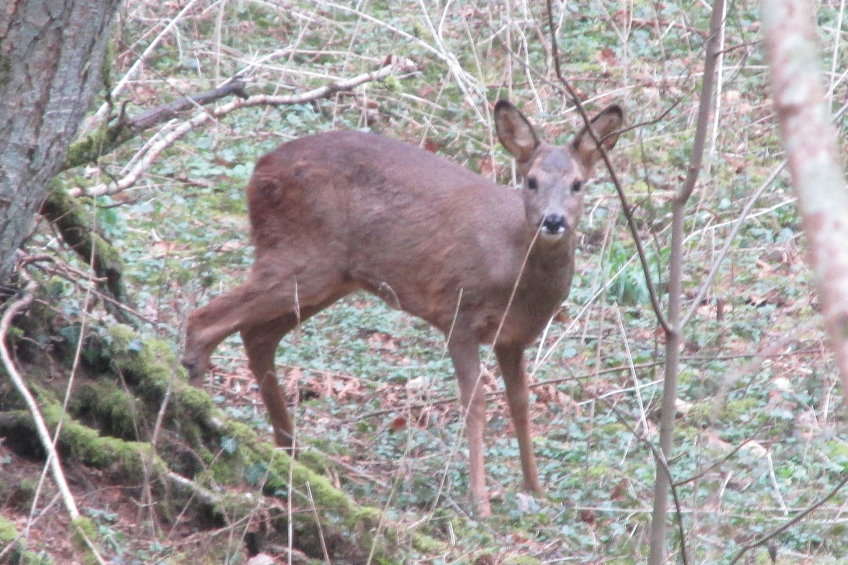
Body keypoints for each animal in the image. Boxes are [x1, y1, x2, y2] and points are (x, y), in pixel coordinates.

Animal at [182, 100, 624, 516]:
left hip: (328, 277)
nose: (553, 221)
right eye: (530, 182)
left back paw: (288, 451)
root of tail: (259, 169)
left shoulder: (512, 339)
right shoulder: (458, 314)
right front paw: (480, 502)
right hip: (301, 257)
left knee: (255, 335)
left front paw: (537, 491)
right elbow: (475, 404)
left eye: (578, 184)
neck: (512, 264)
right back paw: (200, 423)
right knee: (204, 319)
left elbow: (521, 405)